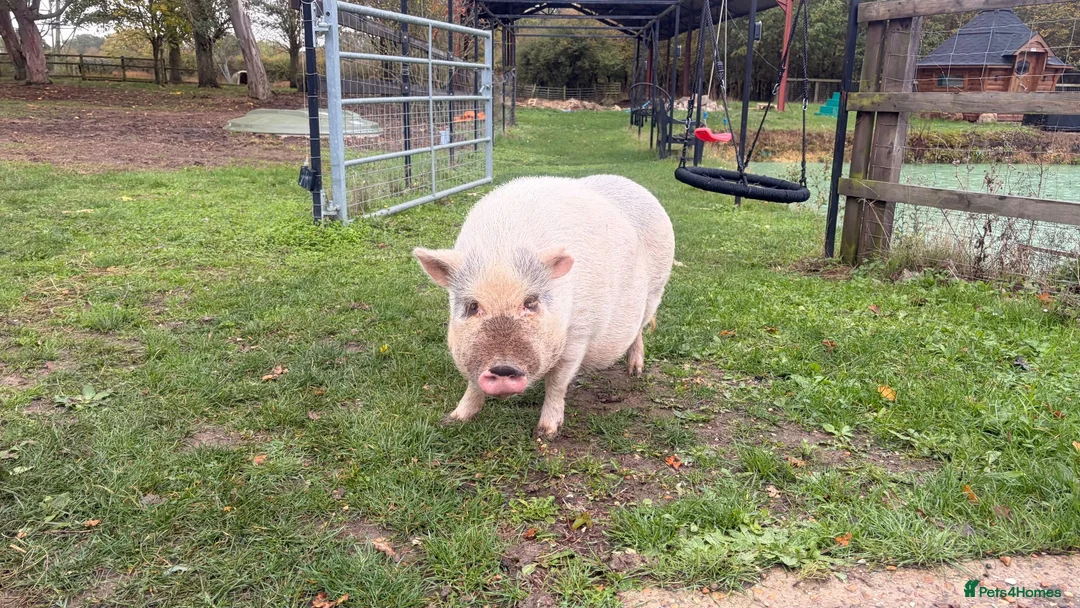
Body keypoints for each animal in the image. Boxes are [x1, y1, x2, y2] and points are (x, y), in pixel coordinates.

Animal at [413, 175, 675, 438]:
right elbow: (472, 383)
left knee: (639, 330)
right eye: (473, 306)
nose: (503, 369)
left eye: (531, 302)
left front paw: (546, 433)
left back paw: (635, 371)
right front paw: (453, 419)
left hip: (656, 290)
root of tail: (632, 184)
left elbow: (557, 383)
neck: (502, 251)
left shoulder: (578, 333)